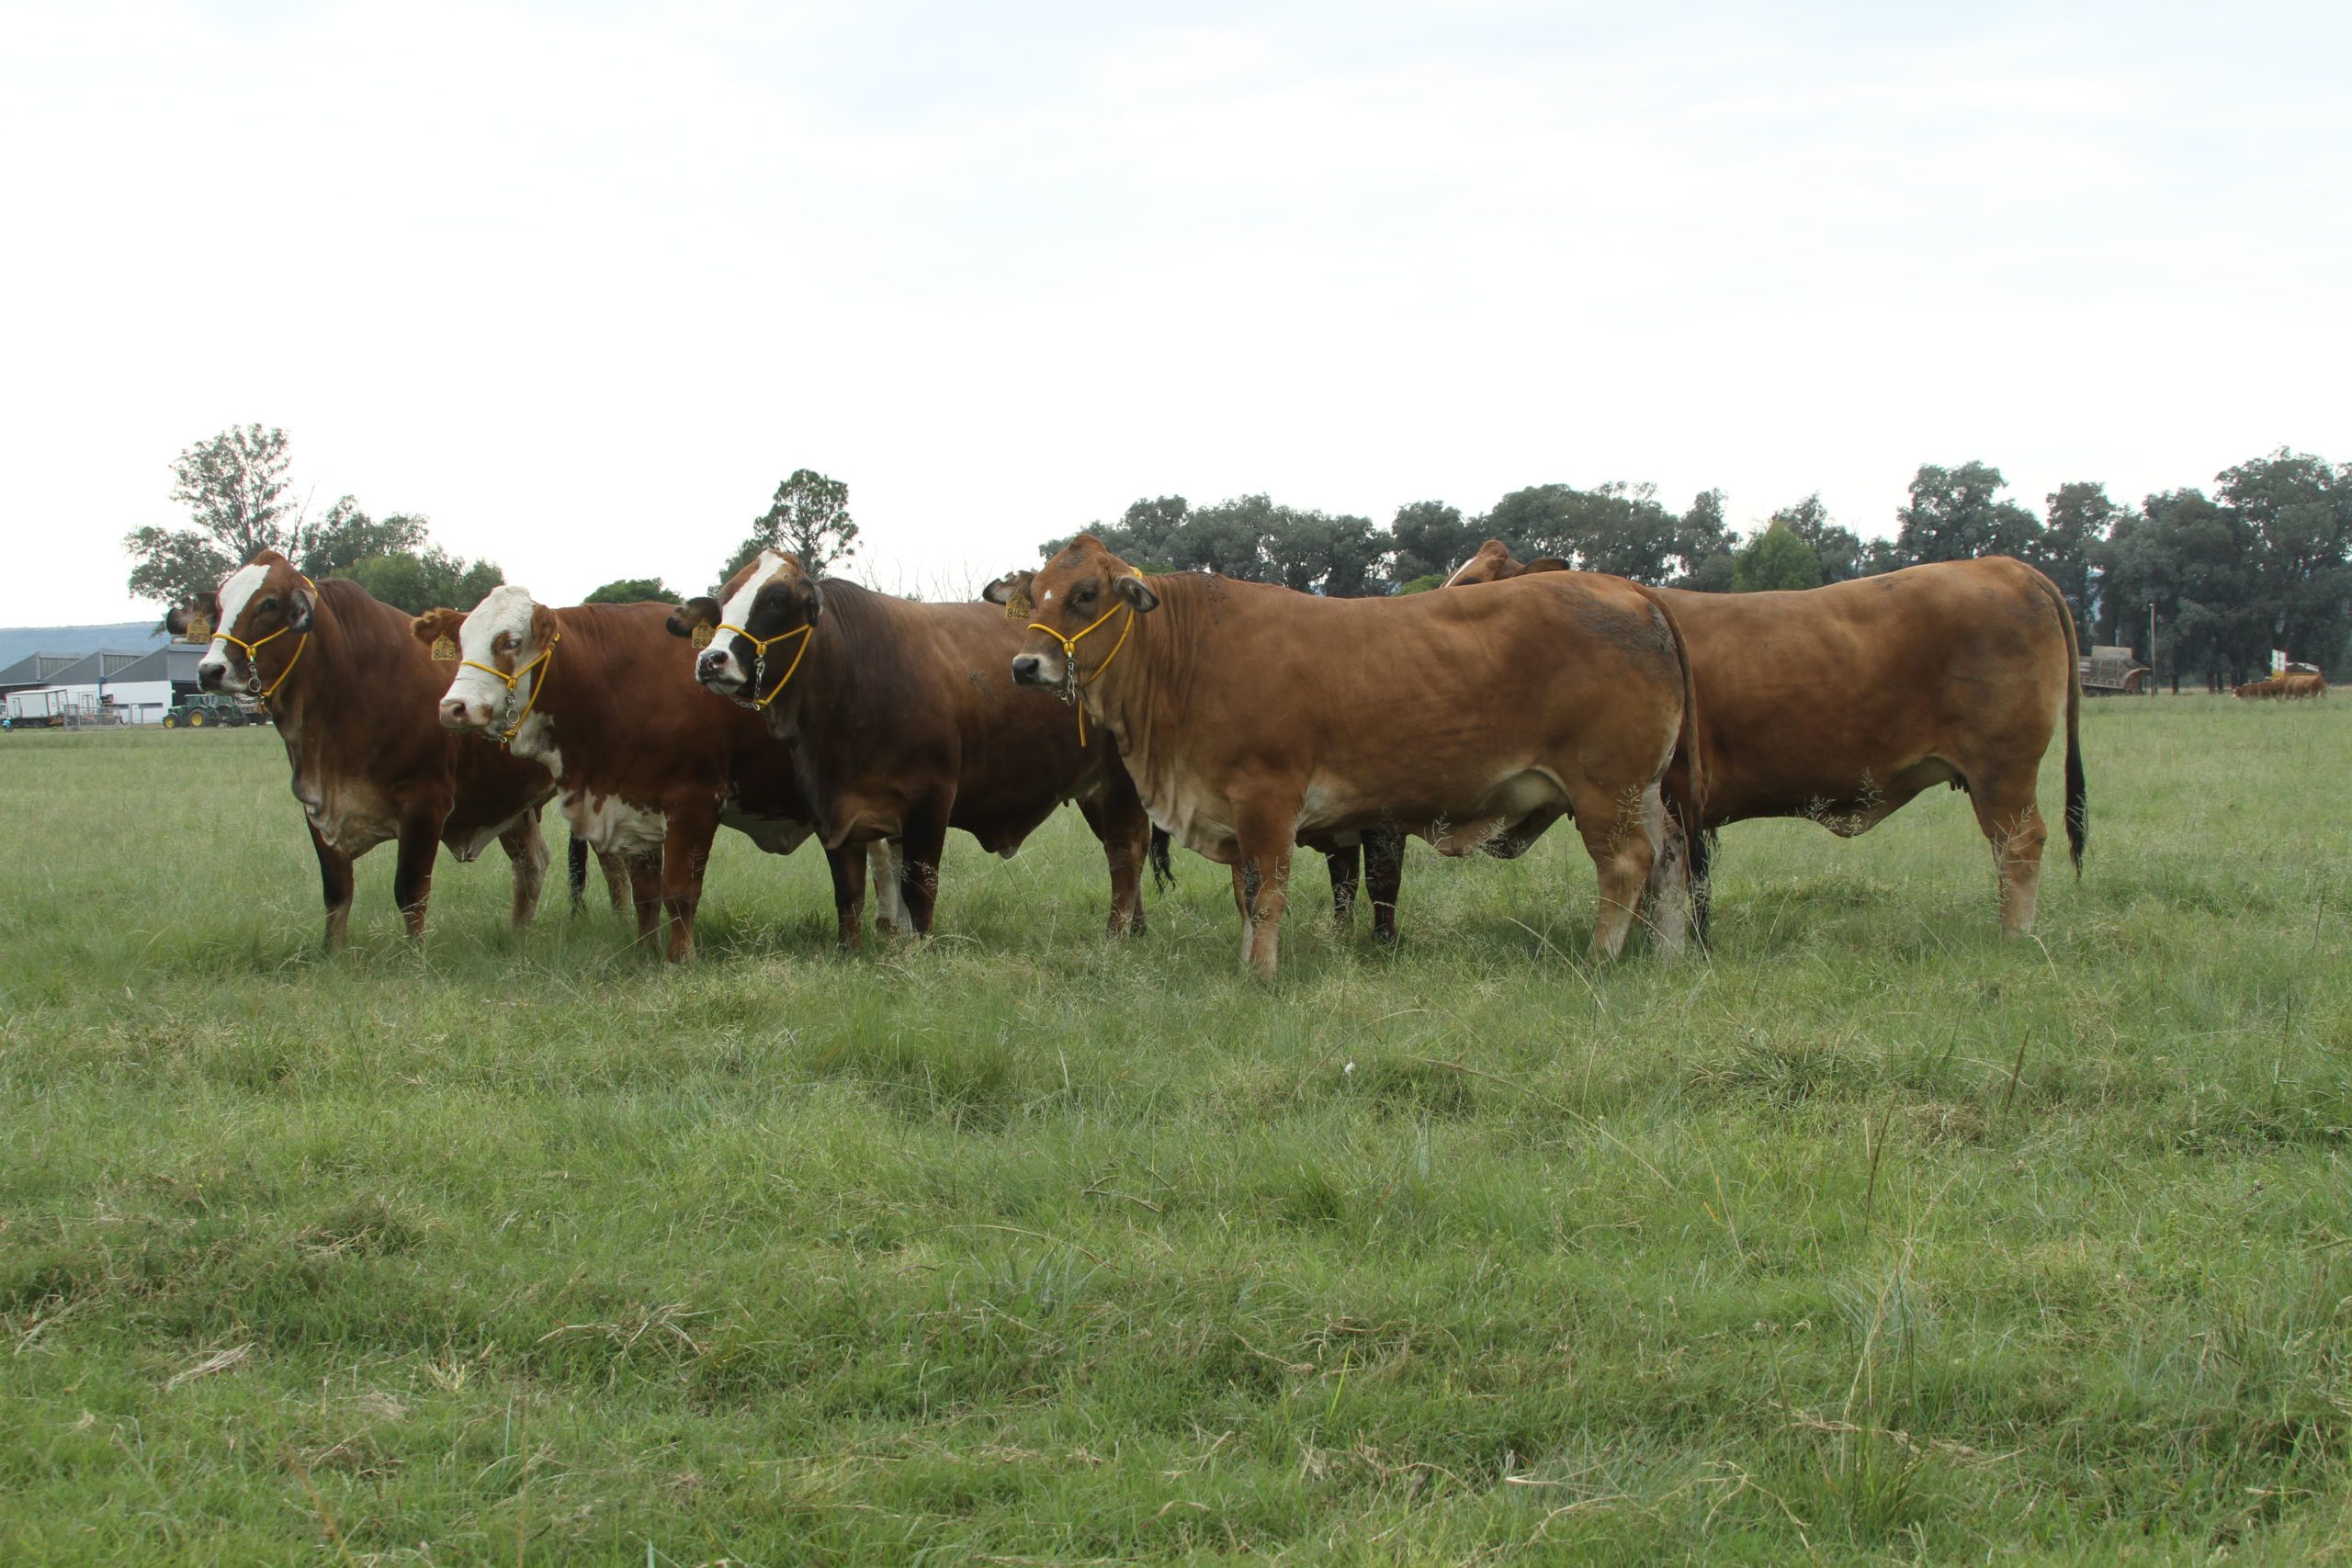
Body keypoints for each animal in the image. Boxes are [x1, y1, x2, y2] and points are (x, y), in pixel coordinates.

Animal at [166, 550, 557, 949]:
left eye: (269, 604)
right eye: (219, 605)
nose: (210, 670)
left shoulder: (424, 805)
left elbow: (410, 892)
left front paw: (415, 955)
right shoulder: (316, 808)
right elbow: (337, 893)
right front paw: (332, 953)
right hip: (513, 803)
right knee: (531, 865)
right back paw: (518, 935)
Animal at [425, 588, 899, 961]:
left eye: (510, 640)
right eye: (462, 641)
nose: (453, 707)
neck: (613, 680)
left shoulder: (694, 804)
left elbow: (680, 890)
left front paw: (679, 958)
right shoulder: (633, 805)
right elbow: (646, 894)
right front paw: (645, 952)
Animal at [675, 551, 1155, 940]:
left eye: (775, 600)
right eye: (724, 600)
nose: (710, 660)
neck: (851, 671)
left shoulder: (930, 802)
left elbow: (918, 889)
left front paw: (917, 952)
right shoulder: (834, 812)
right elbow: (848, 895)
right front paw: (851, 951)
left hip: (1121, 784)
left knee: (1126, 852)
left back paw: (1116, 935)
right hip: (1095, 790)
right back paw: (1136, 929)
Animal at [994, 535, 1701, 980]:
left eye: (1086, 593)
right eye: (1037, 592)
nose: (1025, 664)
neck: (1187, 655)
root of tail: (1629, 591)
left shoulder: (1268, 799)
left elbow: (1267, 892)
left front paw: (1262, 973)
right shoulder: (1234, 810)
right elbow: (1247, 893)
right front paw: (1248, 961)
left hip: (1605, 789)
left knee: (1626, 866)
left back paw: (1602, 958)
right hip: (1642, 791)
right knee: (1669, 859)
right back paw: (1669, 955)